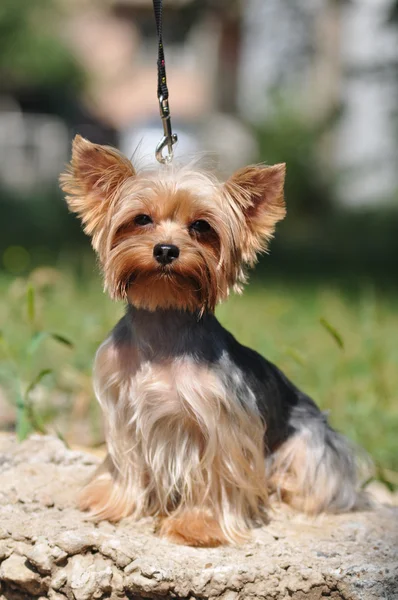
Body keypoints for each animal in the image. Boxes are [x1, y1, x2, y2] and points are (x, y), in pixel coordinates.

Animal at [59, 137, 364, 548]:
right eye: (142, 219)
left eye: (201, 226)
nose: (166, 249)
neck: (164, 318)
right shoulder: (124, 410)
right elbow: (126, 461)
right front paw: (112, 501)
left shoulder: (221, 422)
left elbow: (215, 476)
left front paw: (197, 525)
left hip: (309, 442)